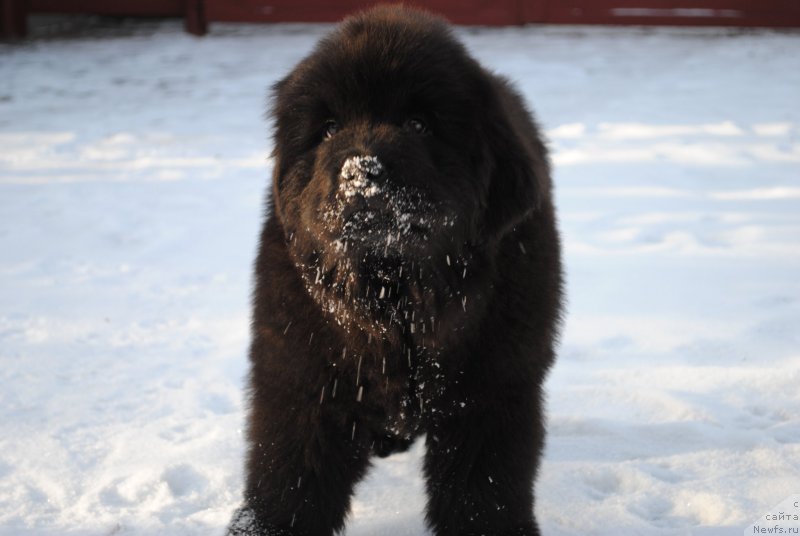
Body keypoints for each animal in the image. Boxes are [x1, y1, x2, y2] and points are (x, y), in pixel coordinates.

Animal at [227, 5, 564, 536]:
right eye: (328, 128)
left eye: (419, 124)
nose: (361, 173)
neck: (397, 296)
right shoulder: (302, 378)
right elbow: (289, 477)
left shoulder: (492, 390)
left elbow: (482, 489)